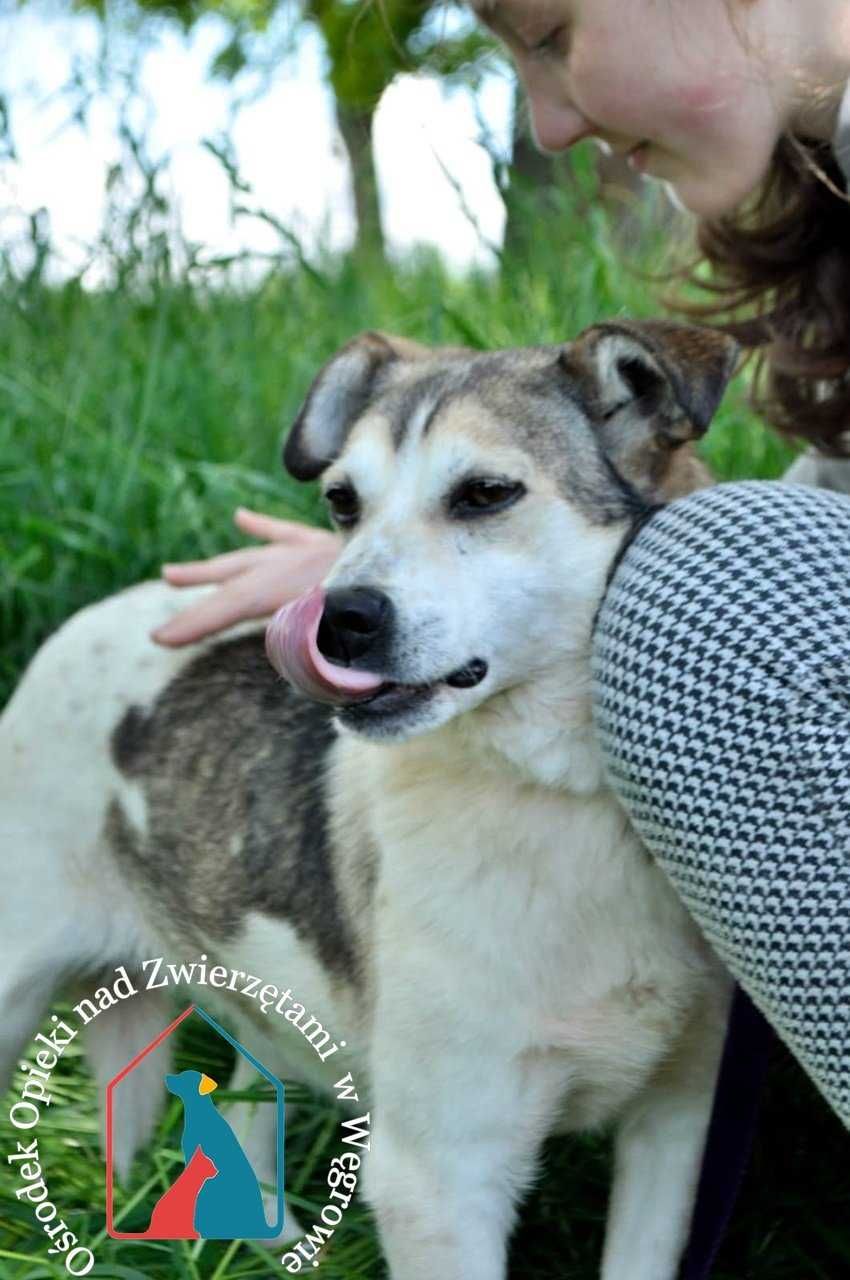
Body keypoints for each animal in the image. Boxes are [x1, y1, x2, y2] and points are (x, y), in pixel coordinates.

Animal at [0, 314, 742, 1274]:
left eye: (486, 494)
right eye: (342, 503)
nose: (332, 620)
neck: (567, 795)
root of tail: (91, 618)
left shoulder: (676, 1126)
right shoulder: (440, 1179)